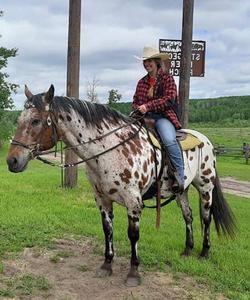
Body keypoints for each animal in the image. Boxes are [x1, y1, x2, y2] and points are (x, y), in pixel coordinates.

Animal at [6, 85, 235, 286]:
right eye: (19, 119)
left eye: (36, 120)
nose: (12, 161)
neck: (109, 150)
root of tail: (206, 140)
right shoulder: (102, 199)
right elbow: (107, 230)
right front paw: (106, 265)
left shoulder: (133, 201)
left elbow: (133, 235)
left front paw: (133, 272)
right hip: (182, 191)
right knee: (188, 216)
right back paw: (187, 250)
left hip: (205, 187)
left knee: (206, 218)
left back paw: (204, 252)